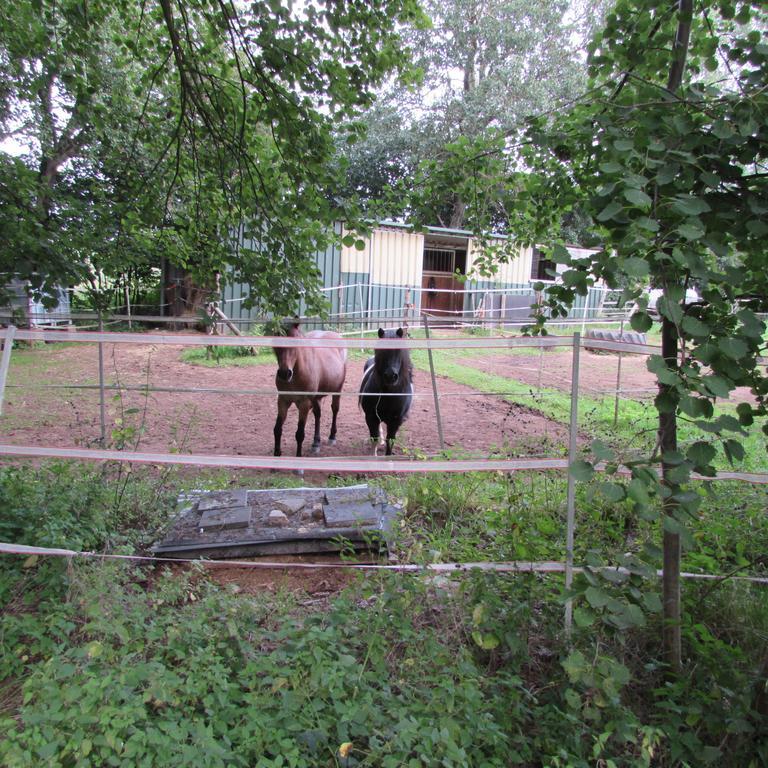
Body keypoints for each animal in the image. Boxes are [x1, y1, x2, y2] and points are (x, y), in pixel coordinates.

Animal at [272, 322, 348, 460]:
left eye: (295, 342)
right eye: (275, 340)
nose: (285, 373)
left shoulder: (304, 404)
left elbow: (300, 433)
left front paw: (298, 458)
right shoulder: (283, 400)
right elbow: (277, 429)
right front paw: (276, 455)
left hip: (337, 390)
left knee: (335, 409)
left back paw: (332, 437)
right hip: (316, 397)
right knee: (318, 414)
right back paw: (316, 443)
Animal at [360, 326, 414, 456]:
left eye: (399, 351)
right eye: (381, 351)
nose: (390, 376)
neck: (389, 394)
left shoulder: (396, 420)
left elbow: (391, 440)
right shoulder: (371, 417)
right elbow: (374, 438)